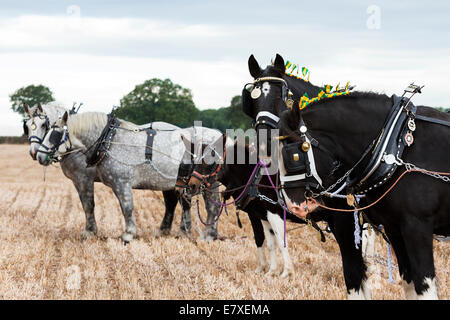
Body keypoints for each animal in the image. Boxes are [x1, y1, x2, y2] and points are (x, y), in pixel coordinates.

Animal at [24, 104, 221, 241]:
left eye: (48, 128)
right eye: (27, 125)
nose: (37, 154)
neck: (108, 140)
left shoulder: (103, 180)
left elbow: (117, 207)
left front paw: (123, 234)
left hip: (206, 181)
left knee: (211, 206)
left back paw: (207, 235)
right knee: (179, 203)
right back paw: (178, 232)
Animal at [278, 89, 450, 298]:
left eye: (293, 155)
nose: (292, 205)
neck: (397, 144)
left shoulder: (417, 227)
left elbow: (423, 285)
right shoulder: (394, 228)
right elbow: (407, 283)